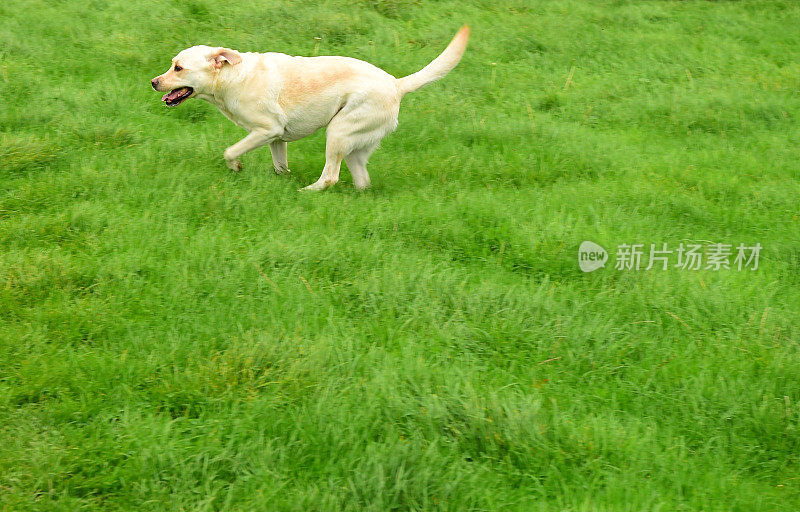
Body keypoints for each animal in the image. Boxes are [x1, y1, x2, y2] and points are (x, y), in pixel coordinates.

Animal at [150, 26, 468, 190]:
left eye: (178, 68)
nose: (153, 82)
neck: (233, 77)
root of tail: (396, 83)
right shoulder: (276, 138)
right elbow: (280, 166)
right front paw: (281, 180)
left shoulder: (267, 130)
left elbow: (230, 151)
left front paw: (237, 167)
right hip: (354, 146)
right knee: (362, 181)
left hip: (337, 132)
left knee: (330, 177)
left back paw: (307, 192)